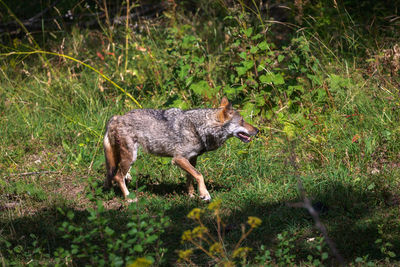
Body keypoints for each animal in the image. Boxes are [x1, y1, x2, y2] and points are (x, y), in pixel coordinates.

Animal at [104, 97, 260, 202]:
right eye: (242, 121)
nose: (257, 130)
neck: (199, 128)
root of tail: (115, 118)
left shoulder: (192, 159)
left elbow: (190, 178)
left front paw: (192, 195)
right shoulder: (178, 159)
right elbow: (199, 175)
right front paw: (205, 194)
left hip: (125, 159)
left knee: (116, 175)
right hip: (131, 157)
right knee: (118, 176)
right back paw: (128, 198)